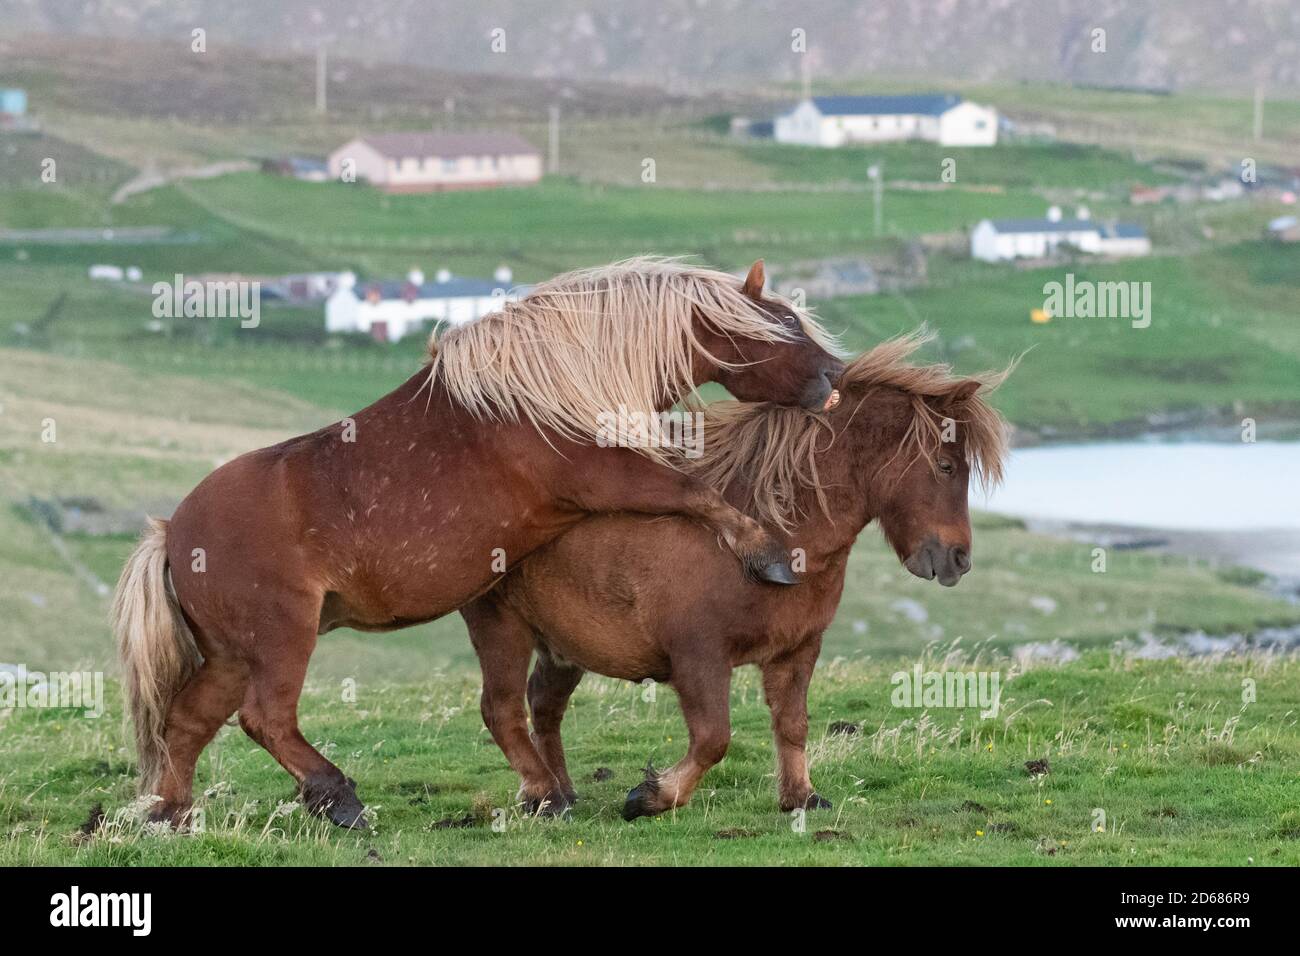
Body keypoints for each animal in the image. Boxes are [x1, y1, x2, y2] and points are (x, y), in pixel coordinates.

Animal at [112, 257, 845, 830]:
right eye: (781, 325)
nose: (835, 374)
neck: (548, 385)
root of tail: (174, 536)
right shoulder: (607, 476)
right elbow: (693, 493)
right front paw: (766, 554)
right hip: (280, 638)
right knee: (265, 718)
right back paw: (340, 798)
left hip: (233, 654)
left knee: (188, 721)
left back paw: (170, 815)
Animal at [460, 331, 1010, 818]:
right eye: (944, 465)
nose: (958, 559)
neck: (769, 531)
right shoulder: (699, 656)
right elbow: (713, 739)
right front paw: (651, 797)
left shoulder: (797, 650)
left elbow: (792, 725)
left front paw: (801, 798)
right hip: (501, 626)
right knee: (502, 710)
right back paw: (546, 799)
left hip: (562, 644)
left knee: (544, 706)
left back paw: (562, 791)